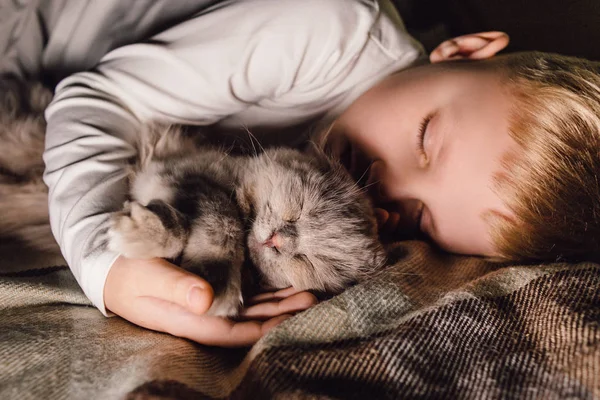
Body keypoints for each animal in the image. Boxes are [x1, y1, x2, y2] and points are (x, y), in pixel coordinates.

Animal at [0, 76, 384, 318]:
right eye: (299, 210)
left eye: (310, 261)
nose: (279, 240)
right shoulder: (175, 172)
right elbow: (222, 221)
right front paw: (212, 276)